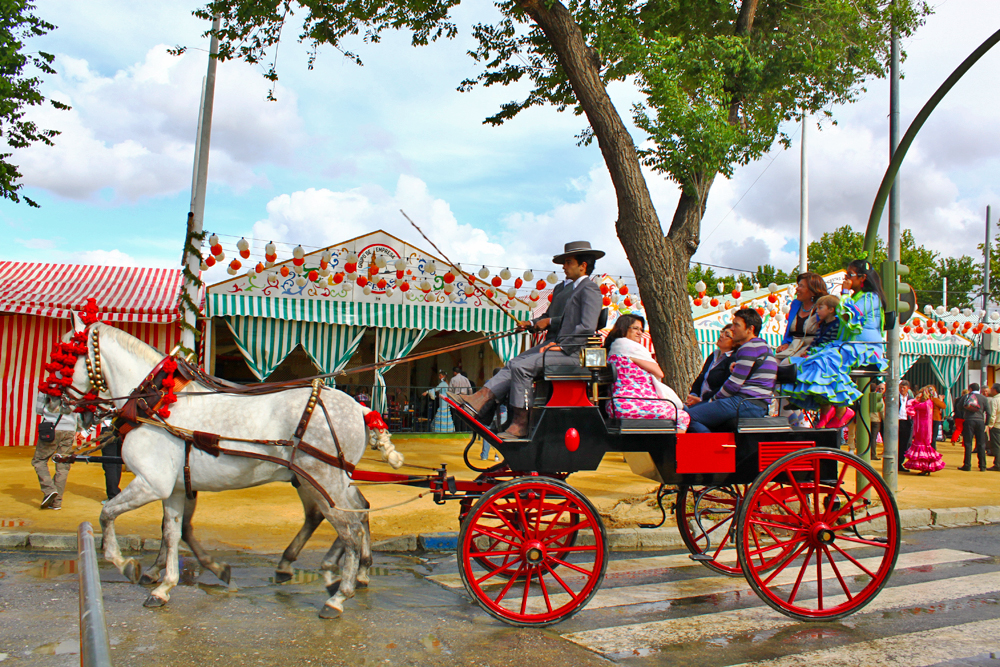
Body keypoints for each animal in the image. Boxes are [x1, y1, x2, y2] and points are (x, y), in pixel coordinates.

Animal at [63, 316, 402, 620]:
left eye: (64, 354)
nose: (57, 399)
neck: (157, 404)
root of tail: (359, 407)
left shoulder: (151, 483)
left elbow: (107, 513)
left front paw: (127, 565)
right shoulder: (175, 487)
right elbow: (173, 531)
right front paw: (165, 584)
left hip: (323, 479)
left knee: (350, 527)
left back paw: (338, 594)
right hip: (323, 480)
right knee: (352, 511)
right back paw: (338, 572)